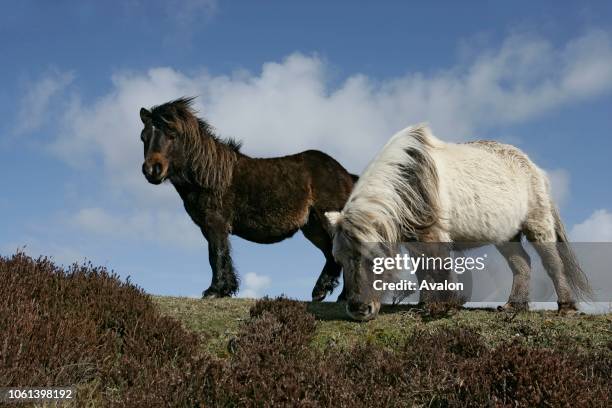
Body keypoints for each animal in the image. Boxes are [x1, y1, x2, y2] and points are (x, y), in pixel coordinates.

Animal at [140, 96, 356, 300]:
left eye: (172, 134)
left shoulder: (216, 223)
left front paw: (214, 291)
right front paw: (225, 289)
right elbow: (220, 254)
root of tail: (346, 174)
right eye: (143, 137)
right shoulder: (208, 227)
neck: (209, 175)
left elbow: (216, 254)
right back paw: (326, 293)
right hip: (313, 227)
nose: (152, 170)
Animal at [328, 122, 592, 320]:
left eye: (375, 257)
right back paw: (514, 305)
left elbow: (438, 269)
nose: (358, 310)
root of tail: (534, 168)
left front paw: (441, 307)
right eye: (339, 259)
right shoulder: (414, 238)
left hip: (538, 225)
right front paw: (424, 305)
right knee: (522, 264)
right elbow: (423, 271)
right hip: (506, 236)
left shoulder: (433, 235)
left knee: (552, 263)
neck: (411, 179)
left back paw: (566, 307)